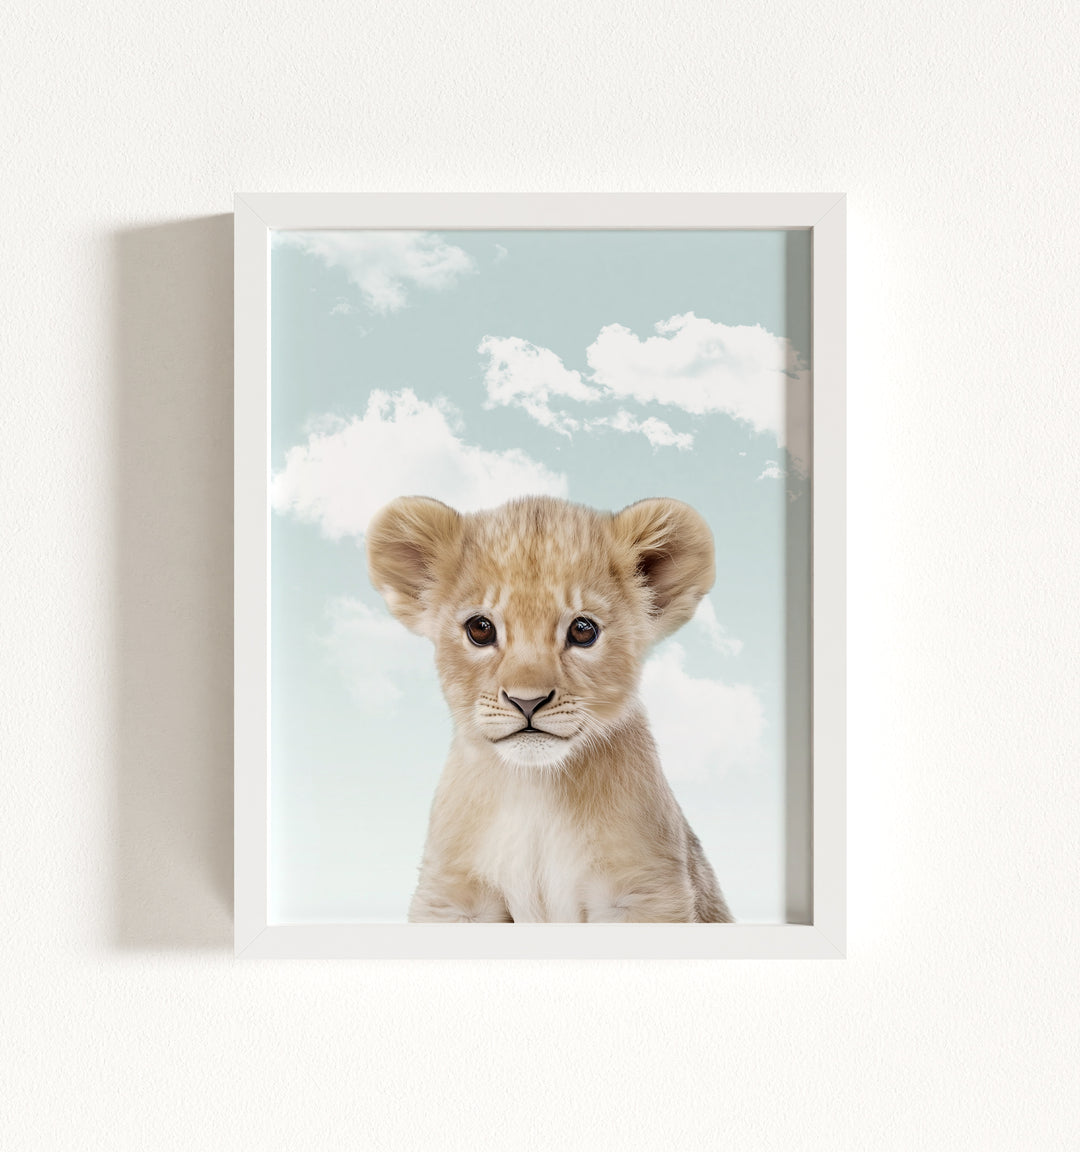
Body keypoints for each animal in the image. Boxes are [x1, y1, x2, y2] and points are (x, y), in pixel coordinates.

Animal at [366, 494, 733, 923]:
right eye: (480, 629)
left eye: (582, 630)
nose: (527, 701)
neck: (535, 789)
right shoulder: (453, 897)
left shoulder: (644, 891)